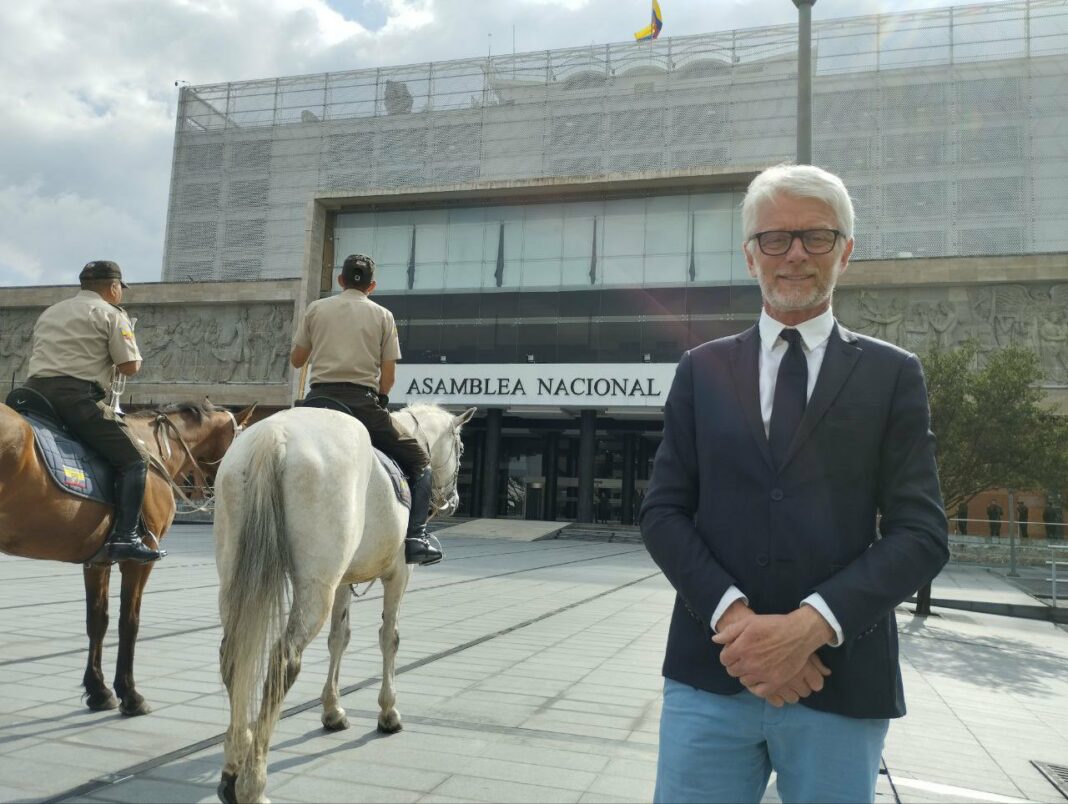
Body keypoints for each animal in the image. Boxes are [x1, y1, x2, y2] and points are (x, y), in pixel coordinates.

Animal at [0, 399, 254, 713]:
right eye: (243, 440)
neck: (155, 448)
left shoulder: (97, 560)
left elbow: (98, 620)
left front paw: (98, 690)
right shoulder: (138, 560)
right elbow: (129, 622)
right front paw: (130, 693)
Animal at [214, 403, 474, 798]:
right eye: (460, 448)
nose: (455, 500)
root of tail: (274, 437)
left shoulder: (341, 584)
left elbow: (339, 639)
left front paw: (332, 710)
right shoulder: (400, 575)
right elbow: (389, 639)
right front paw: (388, 712)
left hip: (235, 579)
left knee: (235, 654)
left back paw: (233, 764)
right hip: (314, 589)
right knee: (283, 661)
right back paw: (252, 782)